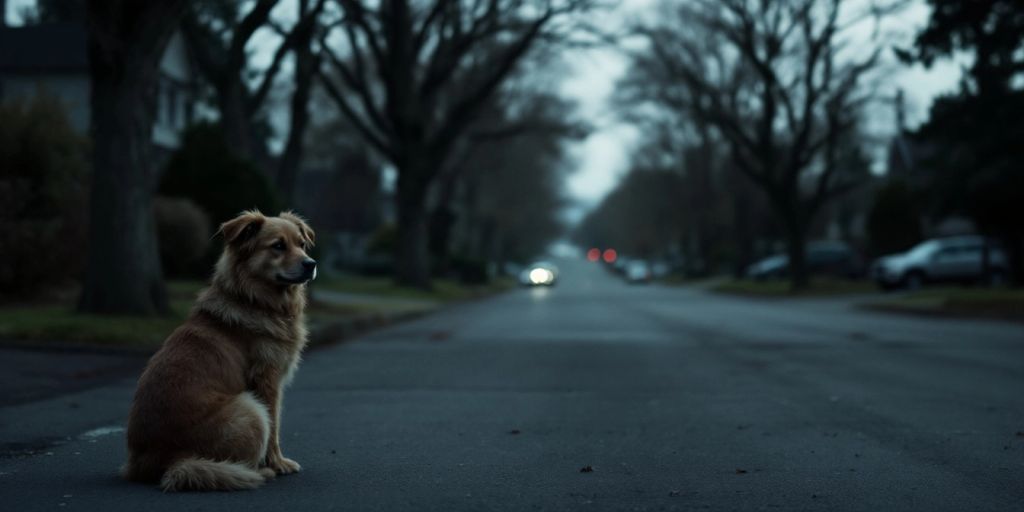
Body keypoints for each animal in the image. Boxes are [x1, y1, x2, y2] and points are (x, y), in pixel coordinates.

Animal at [122, 209, 315, 489]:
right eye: (278, 246)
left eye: (301, 244)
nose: (311, 264)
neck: (254, 300)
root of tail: (164, 460)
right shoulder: (267, 381)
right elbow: (275, 427)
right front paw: (278, 464)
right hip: (250, 409)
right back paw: (256, 470)